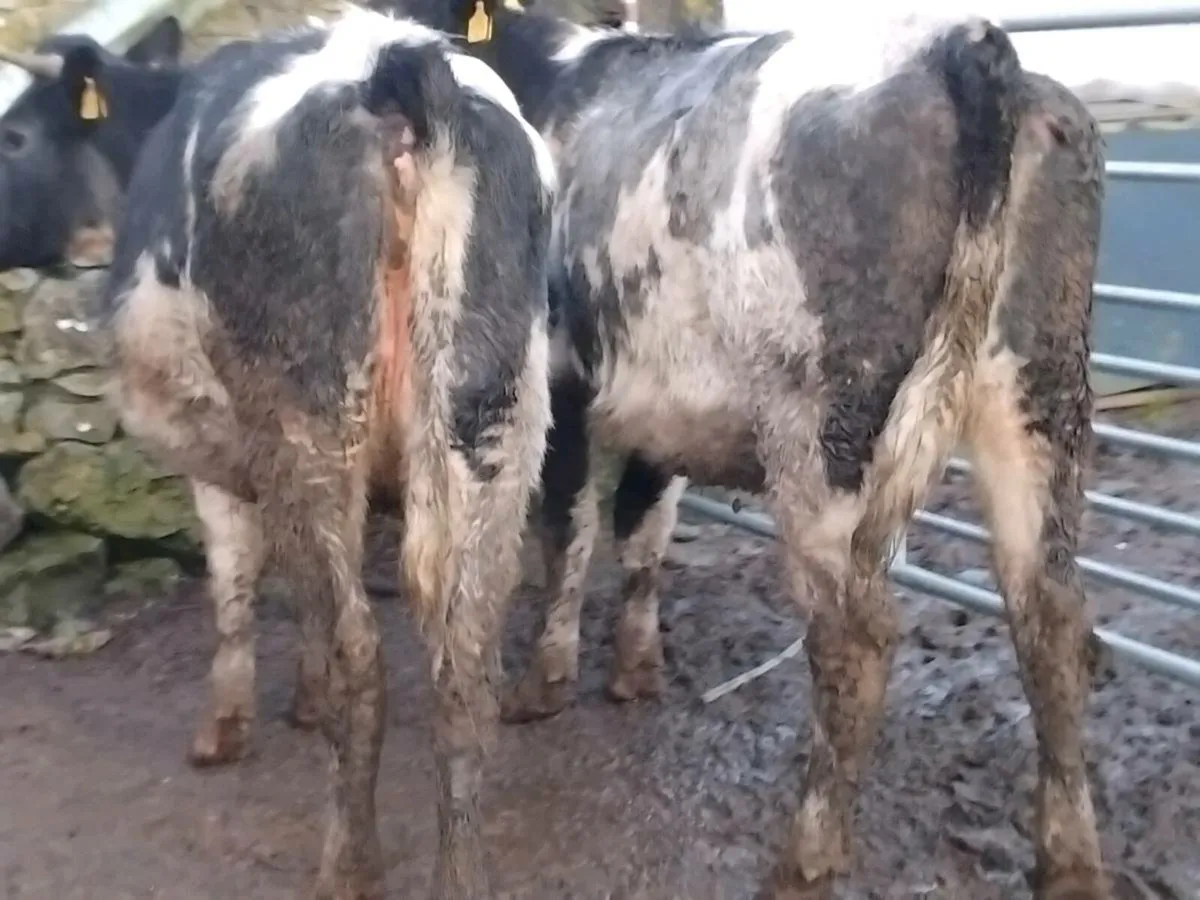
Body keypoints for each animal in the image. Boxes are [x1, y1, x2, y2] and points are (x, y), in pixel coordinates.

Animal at [92, 7, 554, 896]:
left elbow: (236, 584)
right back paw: (459, 874)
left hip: (308, 417)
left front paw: (225, 726)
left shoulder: (221, 461)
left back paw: (348, 867)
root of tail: (392, 72)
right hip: (494, 416)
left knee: (359, 656)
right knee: (463, 665)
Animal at [383, 1, 1111, 897]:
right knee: (1051, 613)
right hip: (1040, 396)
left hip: (821, 428)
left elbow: (571, 532)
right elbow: (644, 531)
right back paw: (1069, 860)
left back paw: (805, 858)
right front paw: (636, 669)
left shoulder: (562, 382)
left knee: (855, 637)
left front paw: (545, 681)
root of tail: (962, 45)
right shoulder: (658, 403)